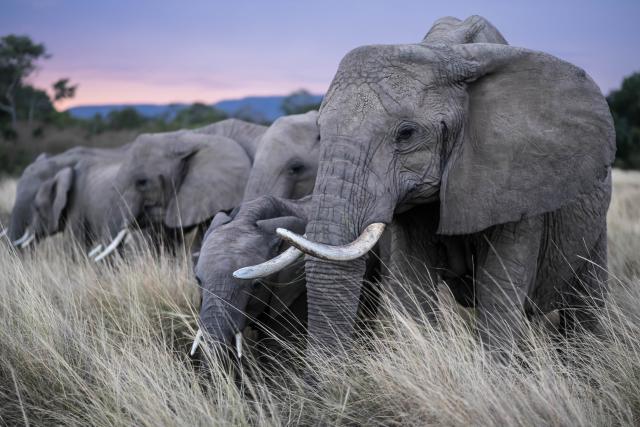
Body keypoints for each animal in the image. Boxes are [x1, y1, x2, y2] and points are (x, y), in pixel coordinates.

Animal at [239, 15, 616, 359]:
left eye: (406, 134)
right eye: (320, 131)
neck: (445, 51)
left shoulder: (517, 177)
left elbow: (499, 295)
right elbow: (413, 288)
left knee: (586, 306)